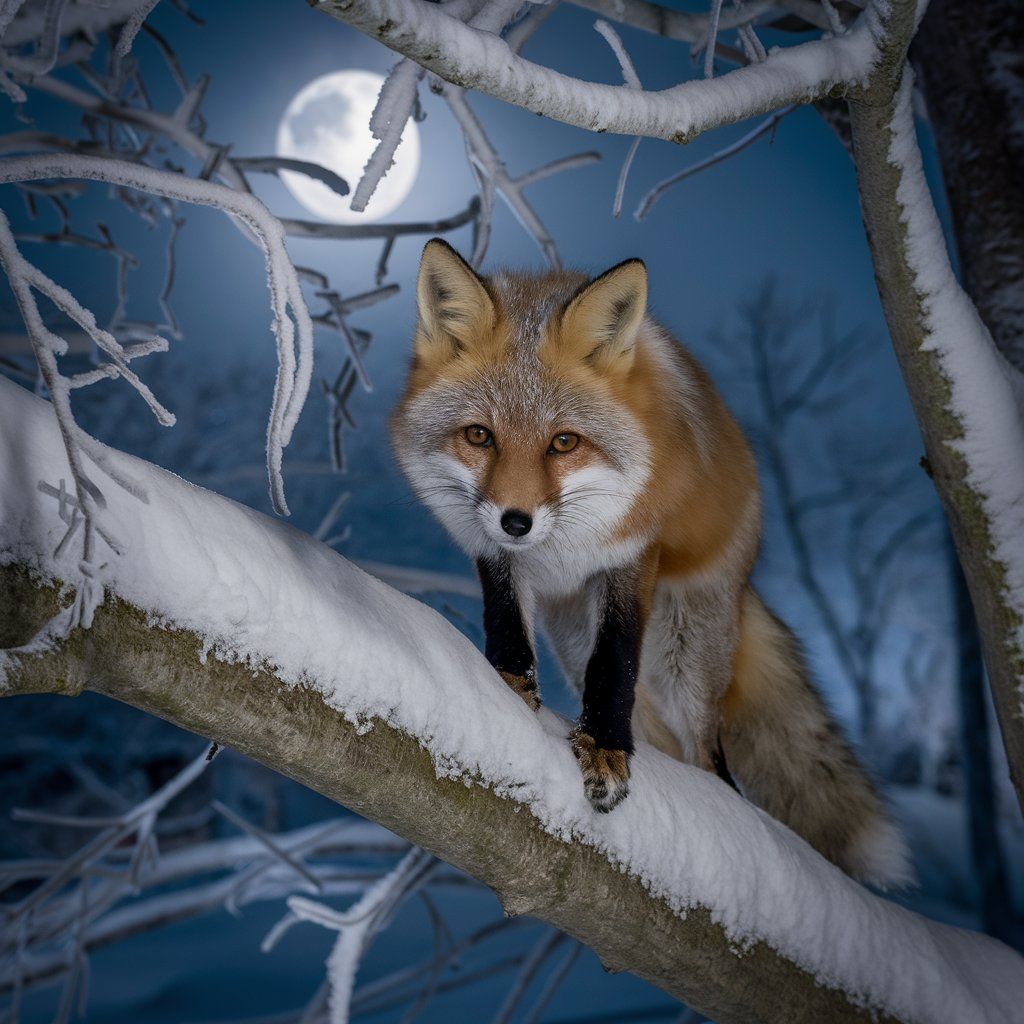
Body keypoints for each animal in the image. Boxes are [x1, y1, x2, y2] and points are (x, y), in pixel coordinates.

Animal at [391, 238, 912, 889]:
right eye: (479, 436)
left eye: (564, 443)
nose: (516, 521)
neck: (558, 547)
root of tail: (745, 580)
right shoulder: (493, 555)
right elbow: (506, 624)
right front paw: (508, 687)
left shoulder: (634, 552)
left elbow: (615, 662)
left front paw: (605, 751)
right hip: (575, 641)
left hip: (685, 656)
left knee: (712, 762)